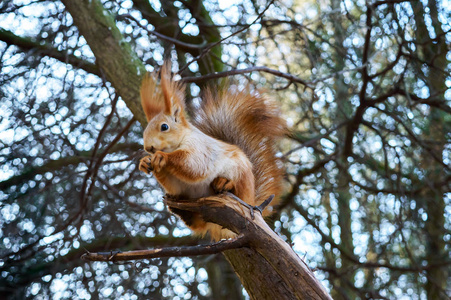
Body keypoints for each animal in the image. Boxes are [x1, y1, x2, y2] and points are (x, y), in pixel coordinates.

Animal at [139, 63, 286, 241]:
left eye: (164, 126)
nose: (148, 148)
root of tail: (254, 202)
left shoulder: (201, 149)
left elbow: (193, 165)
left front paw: (162, 157)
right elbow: (172, 182)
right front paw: (145, 162)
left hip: (241, 177)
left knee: (237, 190)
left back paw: (224, 183)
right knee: (196, 222)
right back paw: (179, 209)